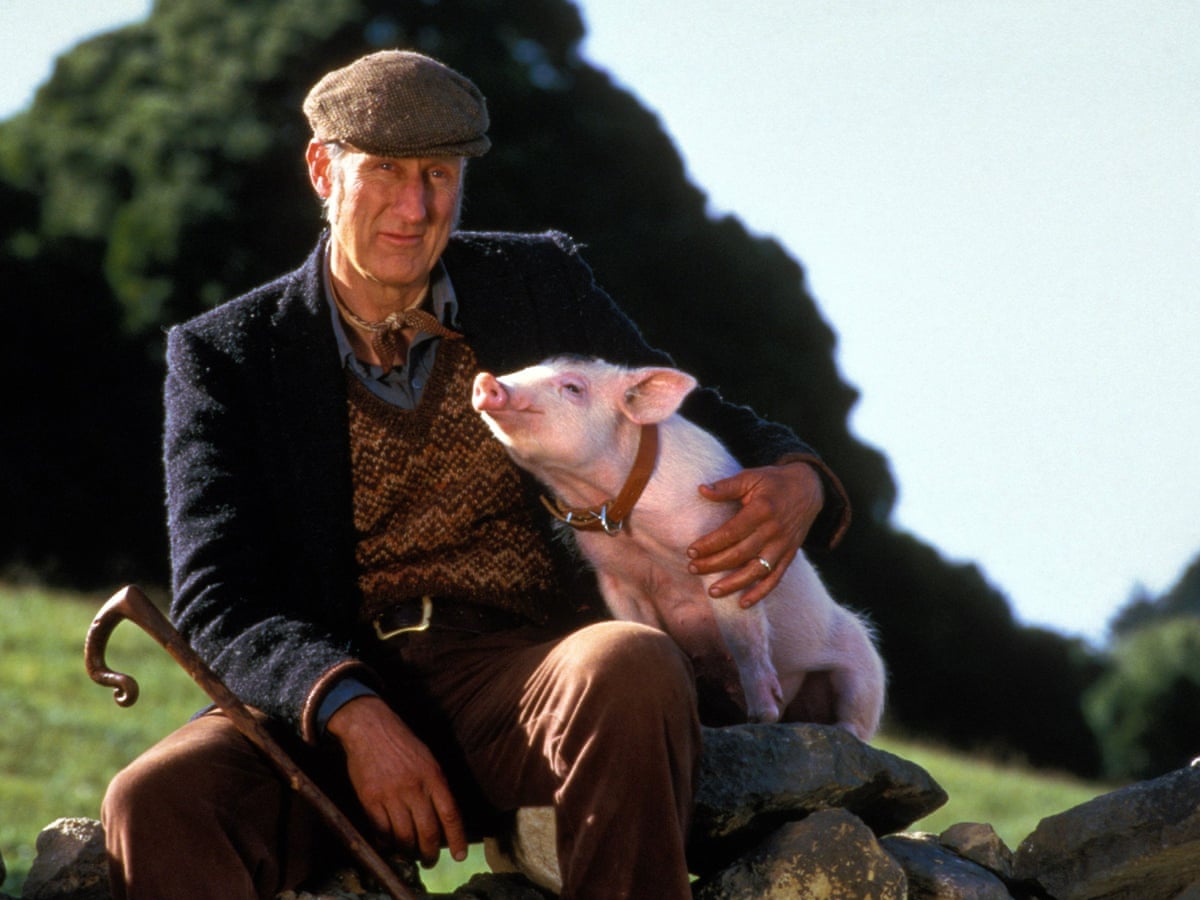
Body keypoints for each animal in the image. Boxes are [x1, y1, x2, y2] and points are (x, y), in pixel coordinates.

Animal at [471, 356, 885, 739]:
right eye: (527, 368)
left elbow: (743, 635)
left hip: (865, 665)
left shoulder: (721, 551)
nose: (488, 381)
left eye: (573, 388)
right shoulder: (615, 577)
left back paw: (833, 730)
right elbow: (641, 626)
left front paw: (762, 717)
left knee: (858, 713)